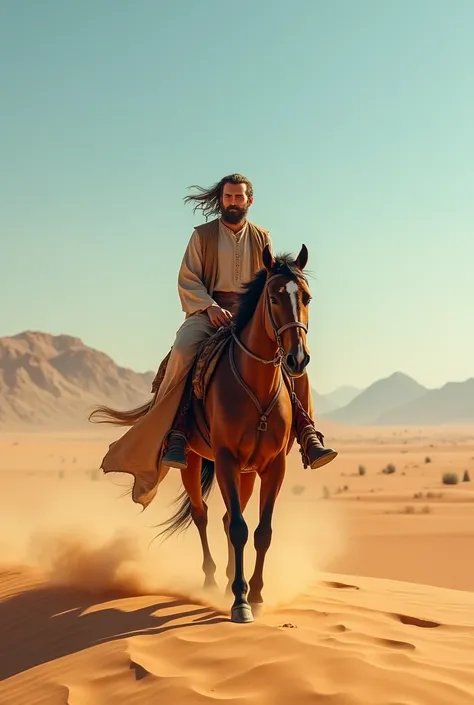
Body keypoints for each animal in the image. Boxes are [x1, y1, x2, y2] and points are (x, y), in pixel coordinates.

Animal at [94, 245, 312, 624]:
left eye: (307, 298)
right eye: (273, 298)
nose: (297, 359)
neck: (256, 387)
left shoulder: (273, 466)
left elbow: (262, 532)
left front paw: (255, 595)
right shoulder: (225, 459)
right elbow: (239, 528)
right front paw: (240, 603)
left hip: (247, 472)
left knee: (224, 518)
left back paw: (227, 582)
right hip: (193, 461)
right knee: (203, 514)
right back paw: (212, 582)